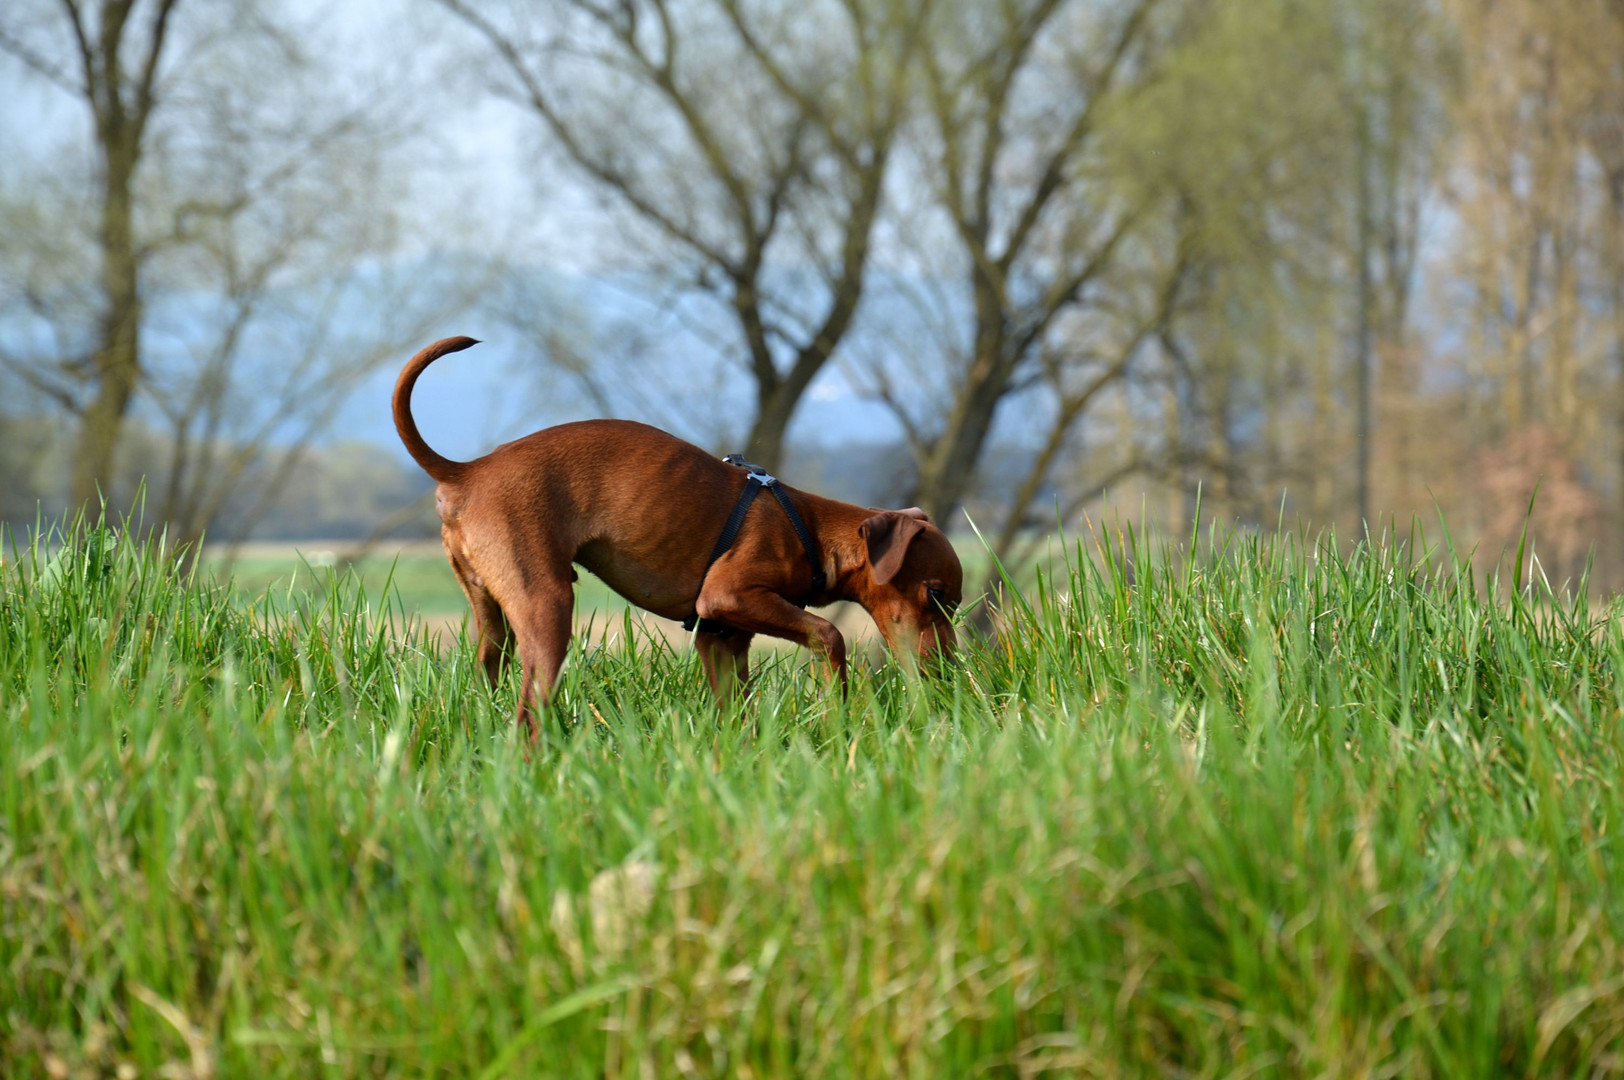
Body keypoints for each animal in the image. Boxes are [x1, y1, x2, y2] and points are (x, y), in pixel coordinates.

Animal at [394, 332, 961, 727]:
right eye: (934, 595)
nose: (953, 670)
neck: (811, 531)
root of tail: (467, 471)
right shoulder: (728, 596)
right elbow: (830, 634)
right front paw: (838, 711)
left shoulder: (721, 638)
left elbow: (737, 708)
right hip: (546, 607)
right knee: (529, 711)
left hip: (493, 620)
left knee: (489, 674)